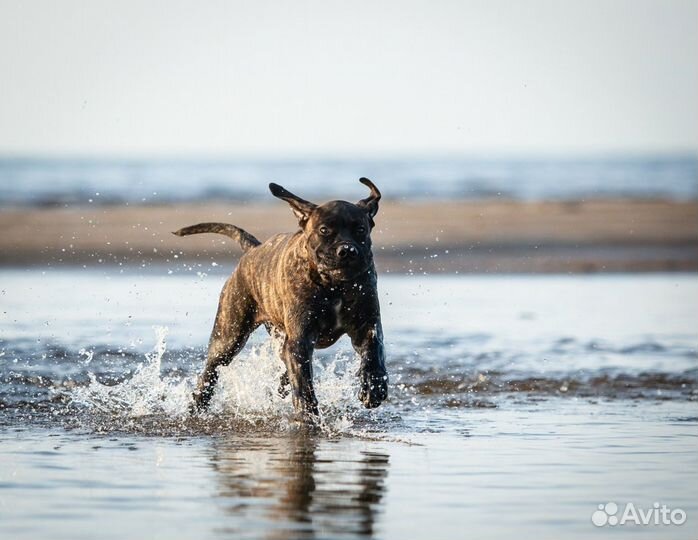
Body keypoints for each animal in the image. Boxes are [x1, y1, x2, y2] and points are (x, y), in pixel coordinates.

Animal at [173, 178, 386, 418]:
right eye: (324, 230)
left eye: (360, 230)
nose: (347, 250)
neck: (334, 287)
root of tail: (253, 249)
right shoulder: (300, 339)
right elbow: (303, 383)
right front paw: (307, 415)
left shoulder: (366, 325)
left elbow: (374, 352)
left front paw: (374, 387)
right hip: (228, 336)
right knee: (211, 370)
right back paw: (197, 405)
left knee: (284, 363)